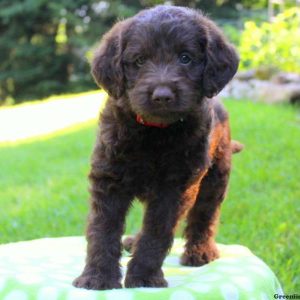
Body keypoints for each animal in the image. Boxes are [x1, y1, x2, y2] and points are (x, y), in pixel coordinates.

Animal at [72, 5, 241, 290]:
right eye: (140, 61)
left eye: (185, 58)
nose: (162, 96)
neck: (154, 133)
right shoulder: (109, 178)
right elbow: (102, 228)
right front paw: (97, 276)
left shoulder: (174, 187)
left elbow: (157, 231)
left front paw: (143, 277)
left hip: (215, 178)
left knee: (204, 216)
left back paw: (200, 251)